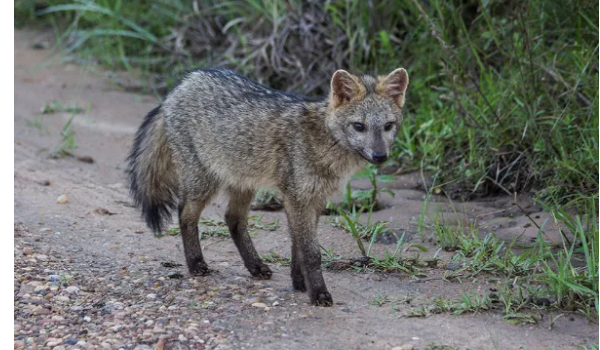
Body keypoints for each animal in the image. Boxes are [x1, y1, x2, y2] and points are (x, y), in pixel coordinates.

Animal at [126, 67, 408, 304]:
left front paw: (300, 283)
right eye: (359, 126)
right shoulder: (297, 198)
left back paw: (255, 266)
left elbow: (297, 247)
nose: (380, 156)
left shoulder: (313, 200)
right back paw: (196, 264)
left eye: (388, 126)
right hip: (203, 183)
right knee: (185, 215)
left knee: (233, 219)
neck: (325, 142)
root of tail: (183, 84)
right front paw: (318, 293)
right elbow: (311, 252)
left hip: (242, 182)